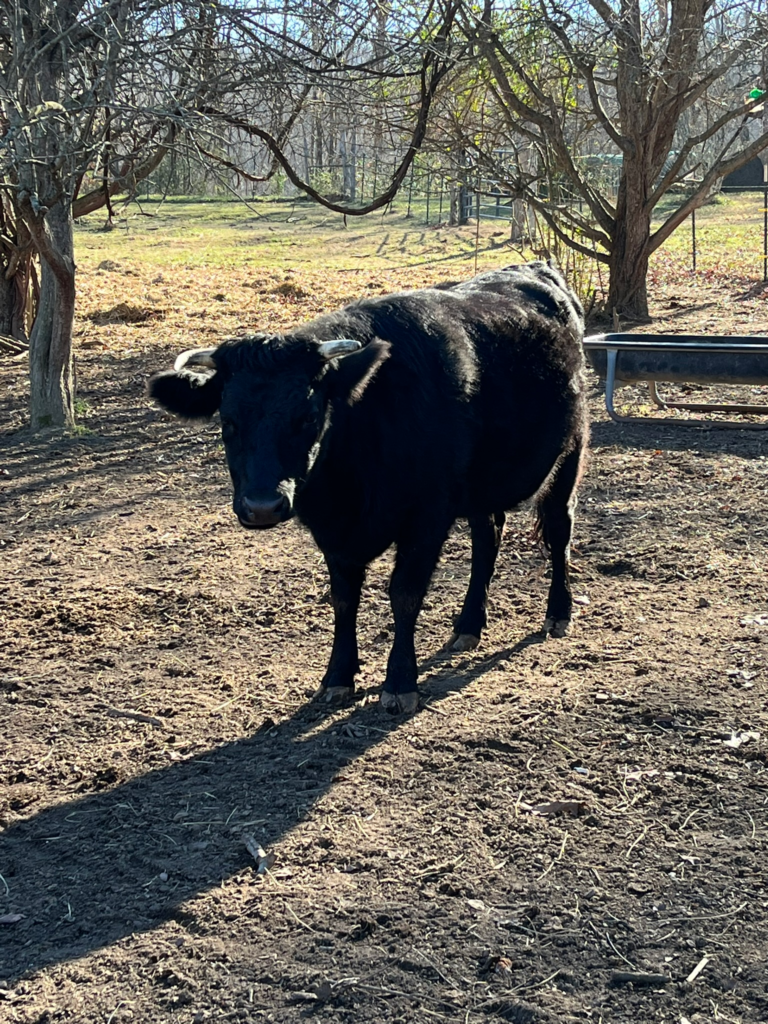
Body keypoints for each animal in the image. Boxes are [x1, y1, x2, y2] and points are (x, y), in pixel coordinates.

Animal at [149, 261, 588, 713]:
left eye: (308, 416)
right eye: (228, 420)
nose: (263, 506)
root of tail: (534, 268)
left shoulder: (428, 516)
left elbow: (405, 594)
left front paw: (399, 682)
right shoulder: (334, 535)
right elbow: (344, 599)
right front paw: (337, 677)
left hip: (570, 452)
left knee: (559, 530)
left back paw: (559, 612)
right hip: (483, 484)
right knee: (489, 536)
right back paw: (469, 624)